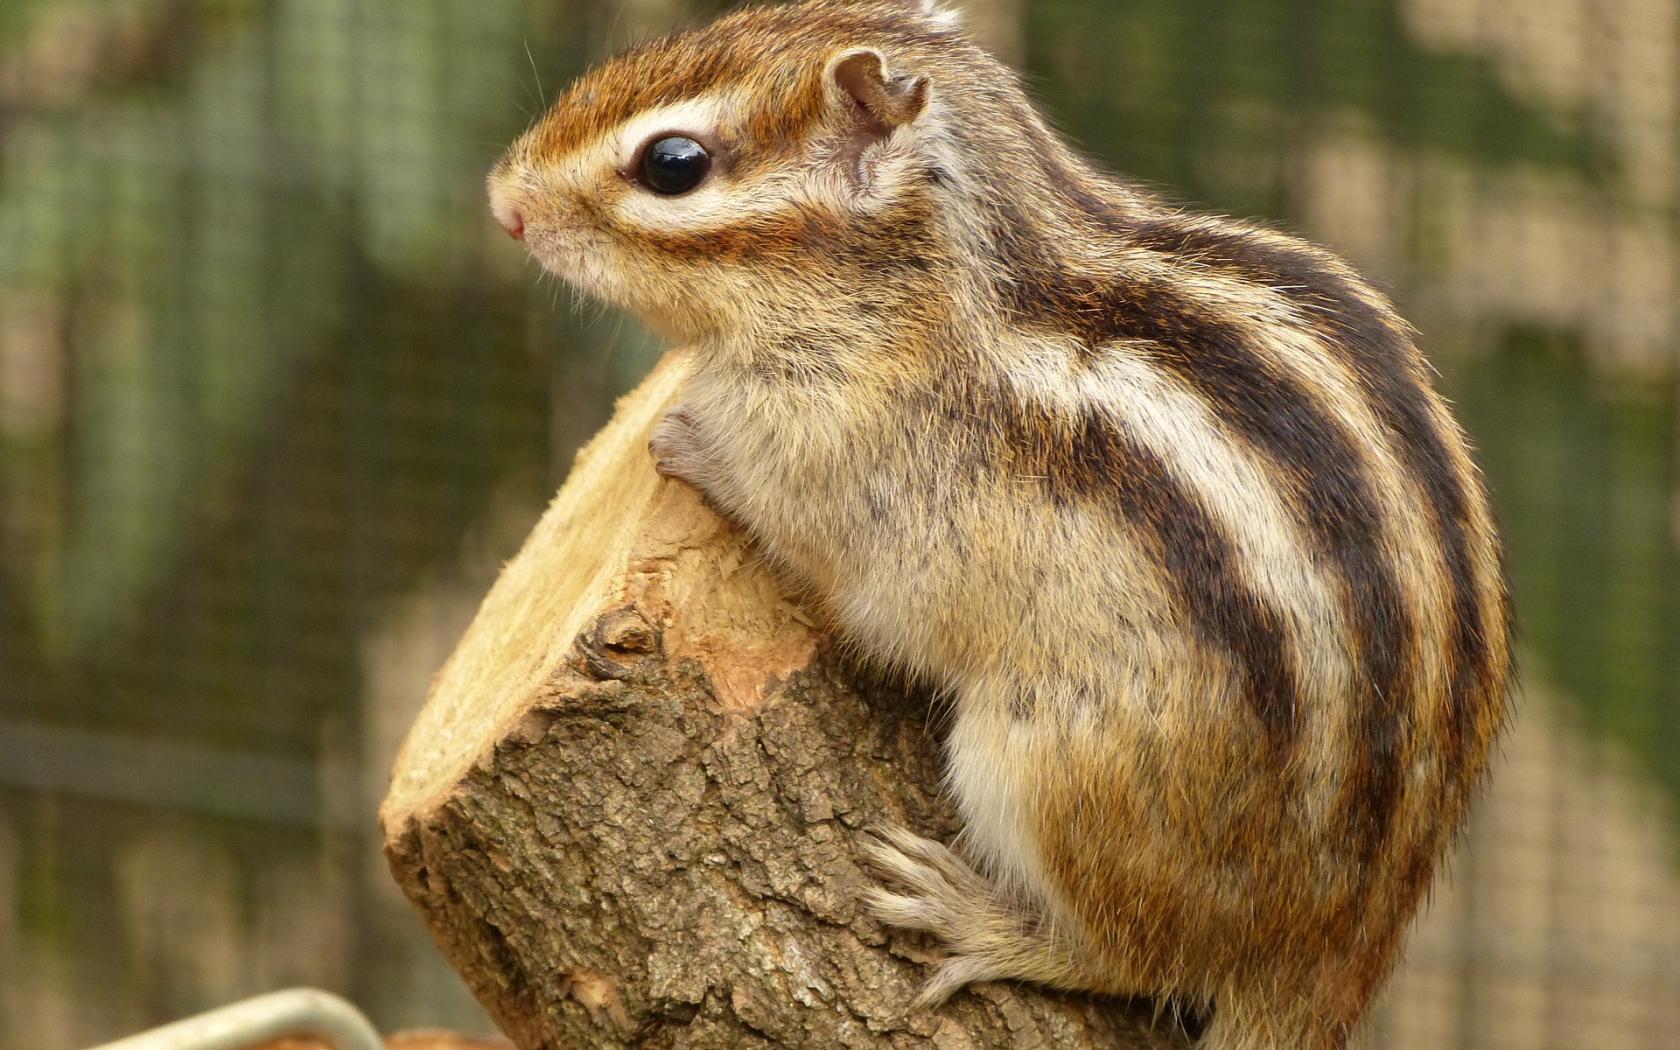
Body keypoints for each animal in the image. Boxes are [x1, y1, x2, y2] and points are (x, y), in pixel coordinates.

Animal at [487, 2, 1514, 1047]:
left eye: (674, 164)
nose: (504, 203)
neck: (918, 290)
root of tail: (1338, 949)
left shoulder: (839, 467)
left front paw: (688, 440)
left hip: (1046, 770)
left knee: (1133, 956)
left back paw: (978, 920)